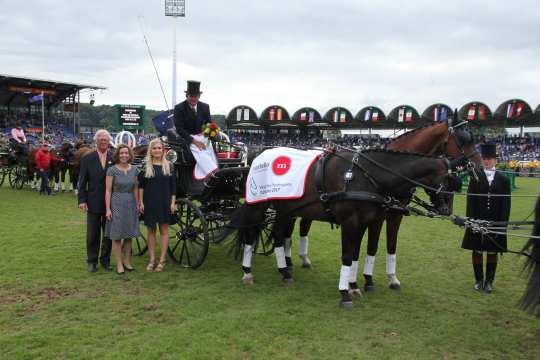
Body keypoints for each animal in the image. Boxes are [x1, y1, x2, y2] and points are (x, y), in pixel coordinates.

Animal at [226, 148, 462, 306]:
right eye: (449, 181)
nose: (446, 210)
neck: (366, 176)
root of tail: (258, 155)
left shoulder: (365, 222)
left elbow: (357, 253)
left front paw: (354, 285)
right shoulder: (350, 222)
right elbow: (348, 255)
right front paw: (345, 293)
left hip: (286, 210)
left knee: (277, 236)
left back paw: (285, 272)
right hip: (259, 204)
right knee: (250, 234)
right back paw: (247, 272)